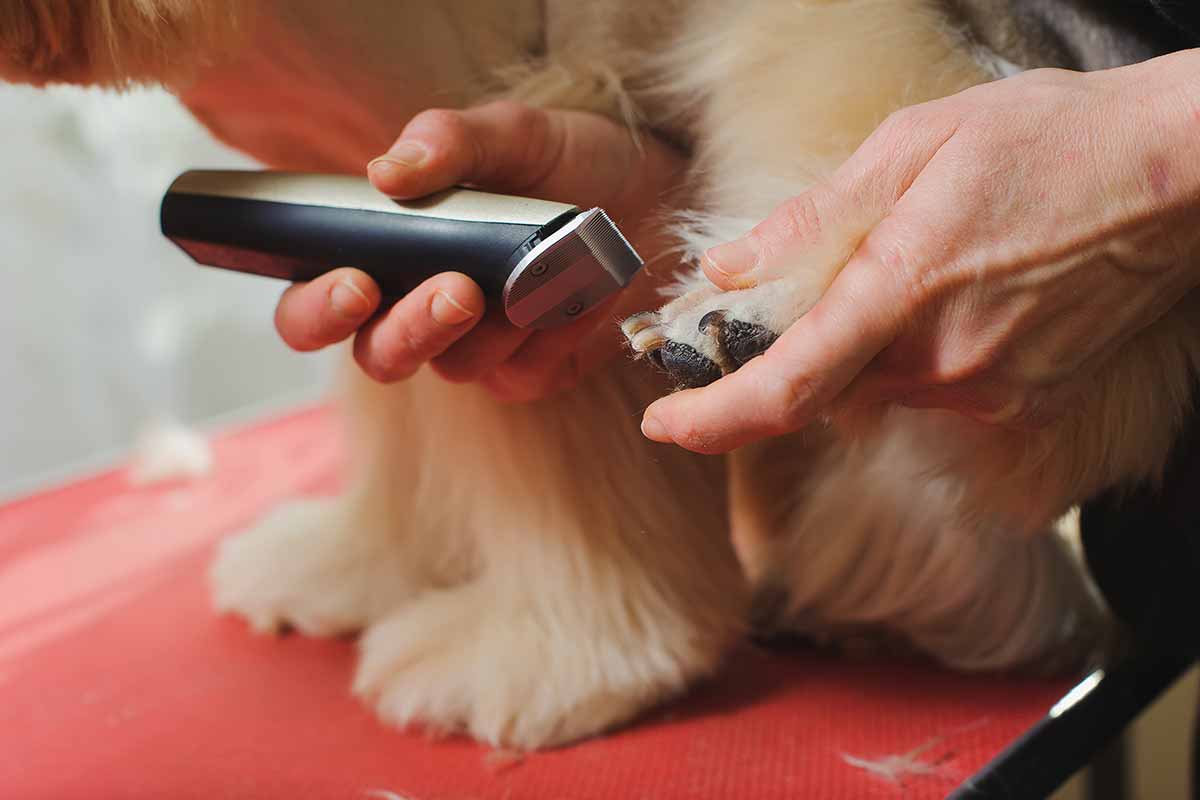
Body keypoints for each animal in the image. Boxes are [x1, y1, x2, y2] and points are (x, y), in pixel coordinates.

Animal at [4, 0, 1195, 753]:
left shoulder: (498, 87)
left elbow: (542, 451)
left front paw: (551, 657)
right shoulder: (367, 176)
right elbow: (399, 405)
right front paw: (363, 562)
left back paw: (754, 326)